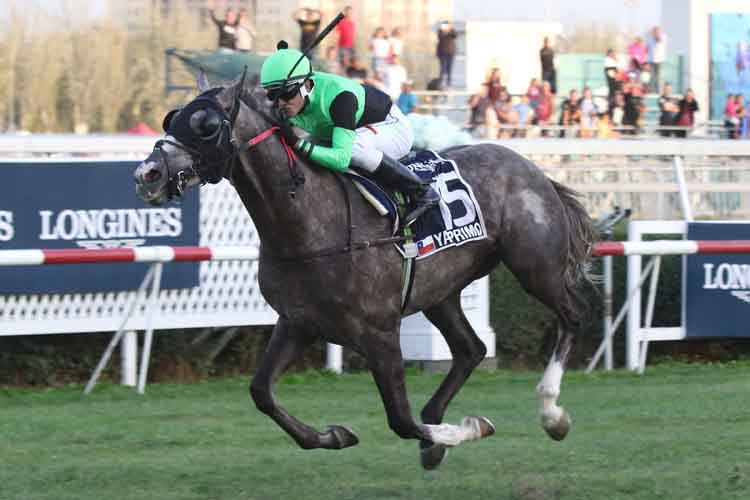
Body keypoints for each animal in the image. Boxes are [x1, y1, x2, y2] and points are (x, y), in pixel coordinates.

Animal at [134, 74, 600, 468]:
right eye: (173, 118)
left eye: (206, 124)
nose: (147, 173)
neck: (305, 225)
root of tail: (534, 169)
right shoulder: (298, 321)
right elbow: (261, 392)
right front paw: (335, 435)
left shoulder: (379, 332)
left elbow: (401, 420)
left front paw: (466, 429)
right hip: (440, 292)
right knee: (471, 349)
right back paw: (439, 429)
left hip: (535, 267)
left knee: (572, 317)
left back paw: (552, 413)